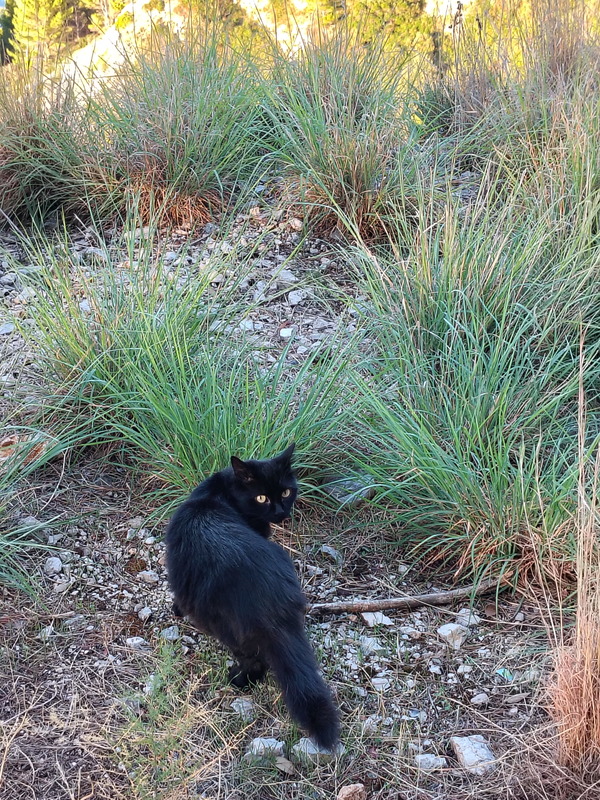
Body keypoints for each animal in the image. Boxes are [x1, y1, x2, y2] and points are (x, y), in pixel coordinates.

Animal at [165, 442, 340, 750]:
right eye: (261, 497)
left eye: (285, 492)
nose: (281, 512)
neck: (219, 492)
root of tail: (274, 602)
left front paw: (176, 608)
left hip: (226, 625)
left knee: (255, 660)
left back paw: (238, 680)